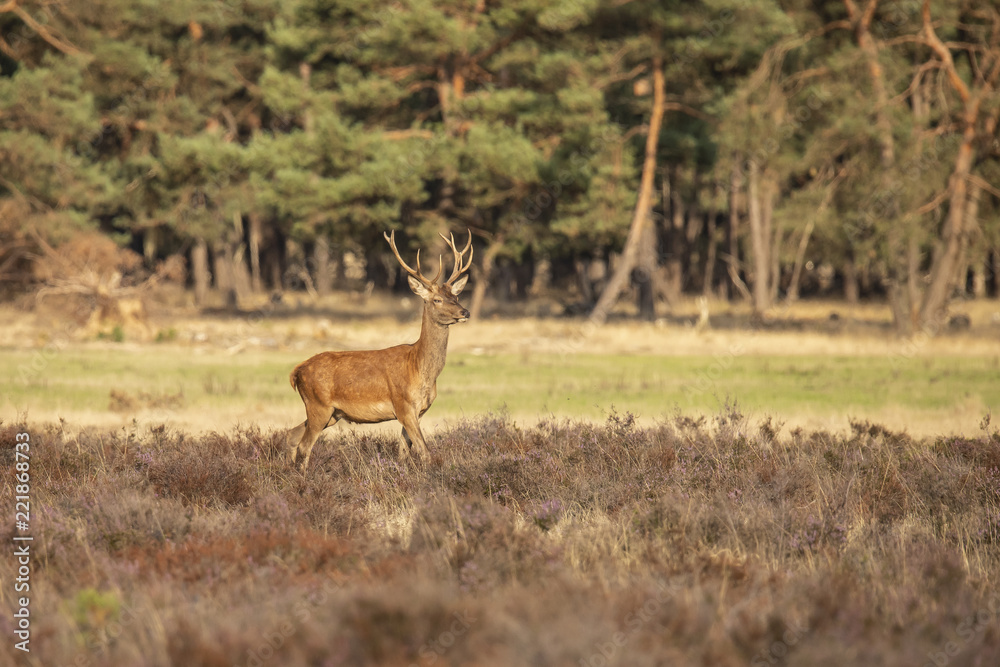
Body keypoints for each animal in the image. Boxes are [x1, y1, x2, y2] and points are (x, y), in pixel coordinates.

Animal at [286, 230, 473, 470]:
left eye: (456, 296)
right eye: (437, 299)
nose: (465, 312)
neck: (419, 368)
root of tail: (296, 372)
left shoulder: (418, 411)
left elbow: (404, 452)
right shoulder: (403, 405)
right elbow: (425, 452)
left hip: (332, 413)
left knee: (291, 435)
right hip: (319, 405)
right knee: (304, 445)